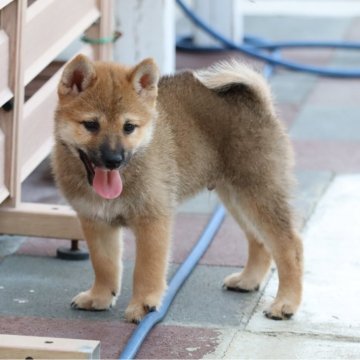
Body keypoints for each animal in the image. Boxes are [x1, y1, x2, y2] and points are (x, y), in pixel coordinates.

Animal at [52, 54, 302, 322]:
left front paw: (144, 304)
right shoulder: (96, 221)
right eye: (91, 125)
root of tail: (258, 101)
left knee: (290, 245)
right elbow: (104, 265)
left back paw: (286, 302)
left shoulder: (153, 220)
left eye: (128, 127)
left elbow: (146, 269)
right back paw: (248, 280)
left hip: (258, 193)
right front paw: (99, 297)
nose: (114, 160)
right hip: (238, 198)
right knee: (260, 241)